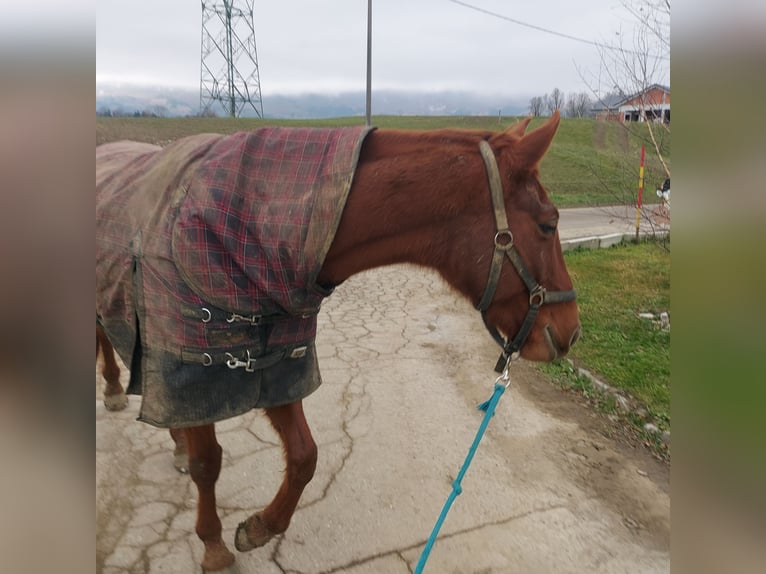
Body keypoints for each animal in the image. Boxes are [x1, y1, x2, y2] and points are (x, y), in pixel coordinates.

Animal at [96, 111, 580, 572]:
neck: (251, 233)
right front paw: (213, 545)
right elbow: (208, 463)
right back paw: (116, 390)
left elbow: (305, 456)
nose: (570, 331)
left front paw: (260, 526)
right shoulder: (195, 372)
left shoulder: (279, 365)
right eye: (547, 224)